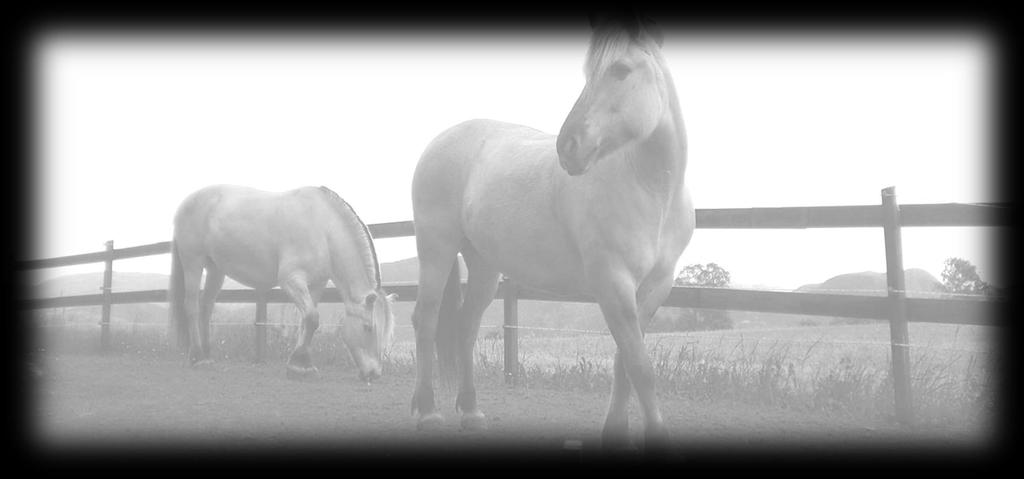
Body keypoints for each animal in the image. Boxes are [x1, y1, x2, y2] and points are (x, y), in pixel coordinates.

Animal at [167, 184, 395, 380]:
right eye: (368, 328)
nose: (374, 374)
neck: (323, 229)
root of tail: (185, 203)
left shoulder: (316, 285)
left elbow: (307, 321)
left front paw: (300, 365)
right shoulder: (290, 280)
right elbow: (312, 318)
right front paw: (300, 363)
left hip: (216, 269)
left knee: (206, 307)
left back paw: (207, 354)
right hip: (193, 263)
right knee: (192, 307)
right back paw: (197, 357)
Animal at [407, 12, 696, 452]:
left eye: (621, 69)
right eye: (587, 73)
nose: (568, 147)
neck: (651, 190)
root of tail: (438, 142)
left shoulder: (655, 287)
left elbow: (625, 362)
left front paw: (616, 432)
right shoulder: (612, 283)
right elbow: (640, 365)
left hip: (484, 265)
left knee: (466, 327)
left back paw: (471, 412)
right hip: (436, 250)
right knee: (425, 320)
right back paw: (428, 412)